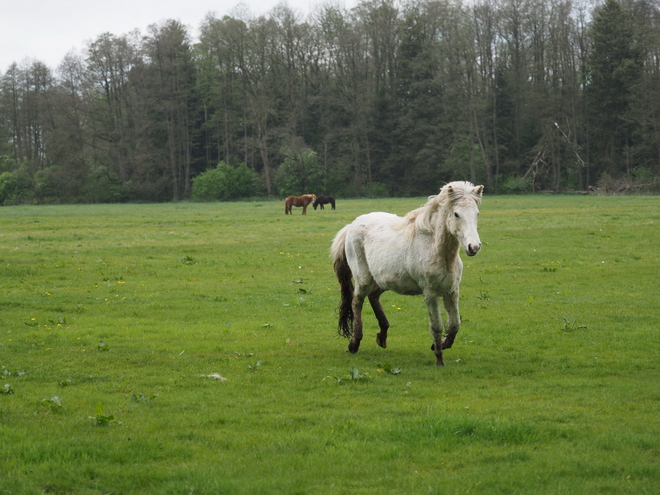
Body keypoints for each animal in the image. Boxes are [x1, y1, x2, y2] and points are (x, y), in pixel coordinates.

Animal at [332, 181, 482, 364]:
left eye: (477, 213)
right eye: (456, 214)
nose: (473, 247)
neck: (436, 250)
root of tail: (351, 226)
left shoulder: (452, 291)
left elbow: (454, 325)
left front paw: (441, 345)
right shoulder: (430, 294)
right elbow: (437, 326)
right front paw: (439, 358)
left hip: (384, 280)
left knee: (373, 296)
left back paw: (382, 335)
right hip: (364, 279)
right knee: (356, 302)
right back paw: (355, 343)